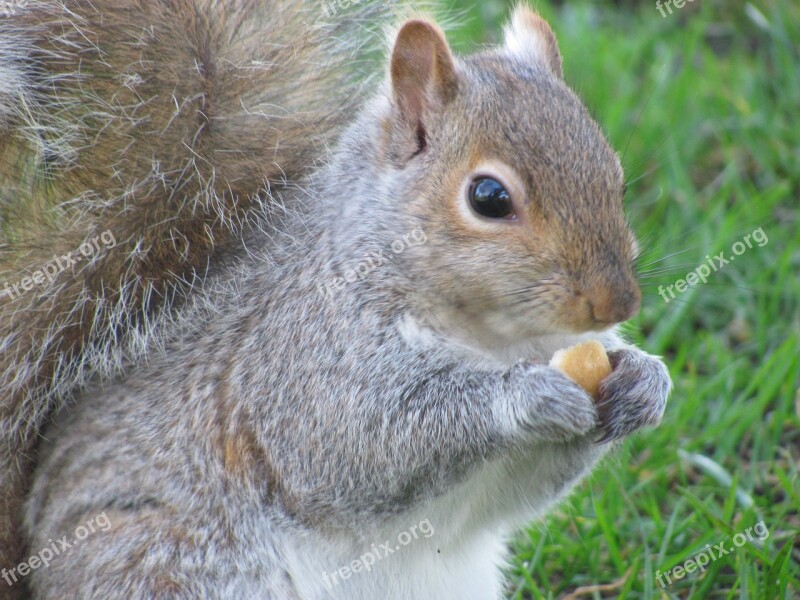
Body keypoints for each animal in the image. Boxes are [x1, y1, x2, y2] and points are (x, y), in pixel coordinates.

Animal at [0, 2, 672, 596]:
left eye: (613, 174)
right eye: (489, 198)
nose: (617, 304)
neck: (493, 337)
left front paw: (645, 380)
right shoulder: (299, 364)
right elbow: (356, 440)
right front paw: (527, 396)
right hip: (167, 563)